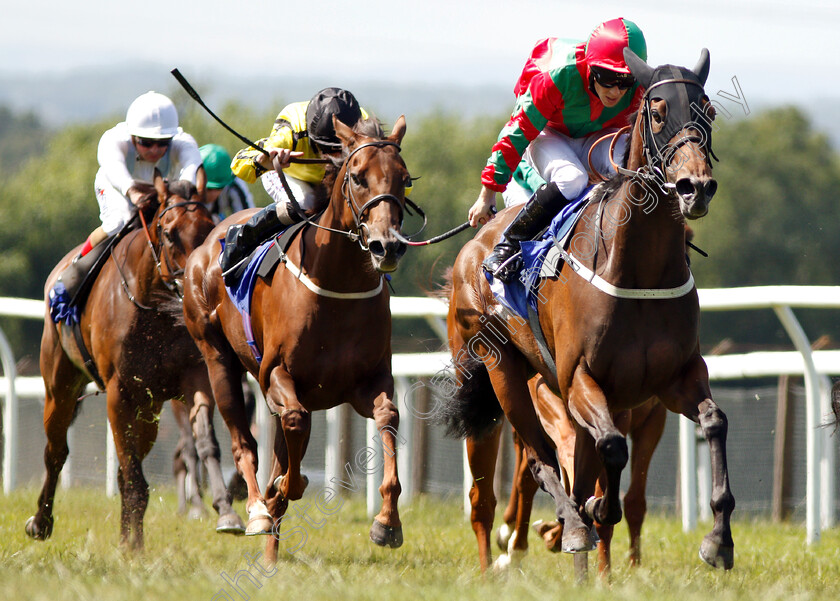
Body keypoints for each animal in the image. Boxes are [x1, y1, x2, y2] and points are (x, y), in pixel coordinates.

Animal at [25, 173, 243, 548]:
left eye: (210, 227)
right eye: (169, 233)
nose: (197, 284)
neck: (156, 309)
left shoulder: (194, 377)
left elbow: (204, 442)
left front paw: (226, 511)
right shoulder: (119, 392)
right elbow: (131, 473)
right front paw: (135, 547)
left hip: (149, 409)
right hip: (59, 387)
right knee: (56, 452)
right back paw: (41, 522)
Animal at [182, 115, 412, 560]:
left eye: (403, 179)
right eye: (357, 176)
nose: (387, 245)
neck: (337, 283)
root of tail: (208, 240)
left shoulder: (366, 382)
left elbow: (388, 416)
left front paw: (387, 522)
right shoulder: (276, 374)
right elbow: (292, 425)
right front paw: (284, 488)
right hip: (216, 357)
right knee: (243, 441)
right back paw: (255, 508)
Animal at [442, 48, 732, 572]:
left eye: (709, 112)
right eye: (657, 112)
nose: (694, 187)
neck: (638, 271)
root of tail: (475, 244)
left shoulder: (673, 378)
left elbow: (714, 422)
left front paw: (719, 539)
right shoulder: (579, 378)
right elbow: (609, 451)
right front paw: (591, 515)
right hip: (498, 371)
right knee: (533, 463)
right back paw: (546, 535)